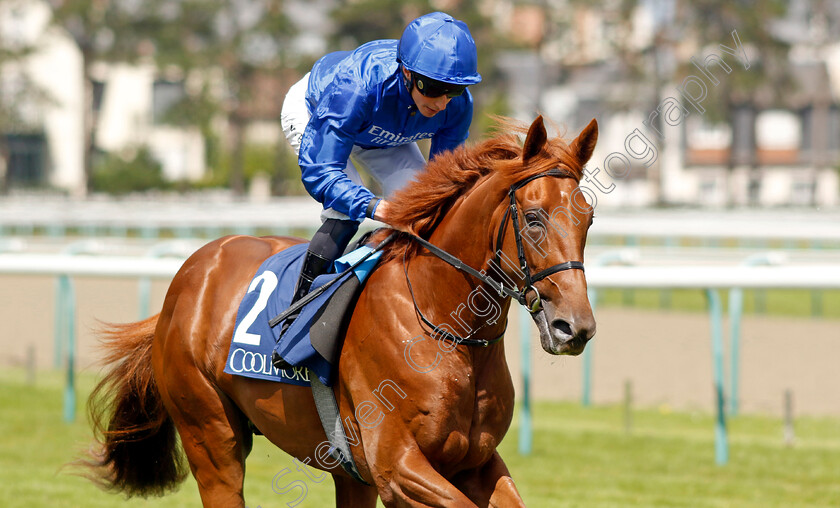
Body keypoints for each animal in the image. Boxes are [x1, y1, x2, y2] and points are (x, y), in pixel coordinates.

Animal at [83, 117, 596, 506]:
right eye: (534, 219)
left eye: (588, 218)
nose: (575, 328)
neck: (444, 325)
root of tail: (188, 277)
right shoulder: (398, 467)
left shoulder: (475, 461)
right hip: (211, 435)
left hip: (345, 471)